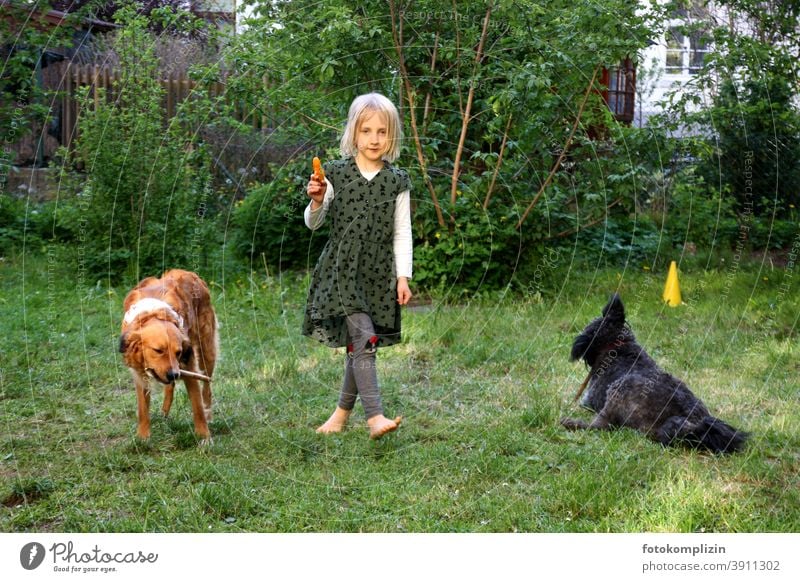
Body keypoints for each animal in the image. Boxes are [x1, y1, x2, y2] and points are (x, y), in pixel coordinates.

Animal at [119, 272, 219, 444]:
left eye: (179, 352)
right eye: (158, 350)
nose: (174, 374)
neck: (152, 314)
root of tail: (190, 273)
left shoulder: (188, 365)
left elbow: (197, 407)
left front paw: (204, 436)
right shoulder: (140, 375)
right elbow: (142, 410)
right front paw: (143, 437)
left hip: (207, 351)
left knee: (206, 388)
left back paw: (209, 415)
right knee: (171, 386)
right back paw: (165, 410)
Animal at [564, 294, 752, 454]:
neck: (619, 348)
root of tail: (691, 423)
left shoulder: (589, 400)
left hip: (620, 389)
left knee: (604, 426)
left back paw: (572, 423)